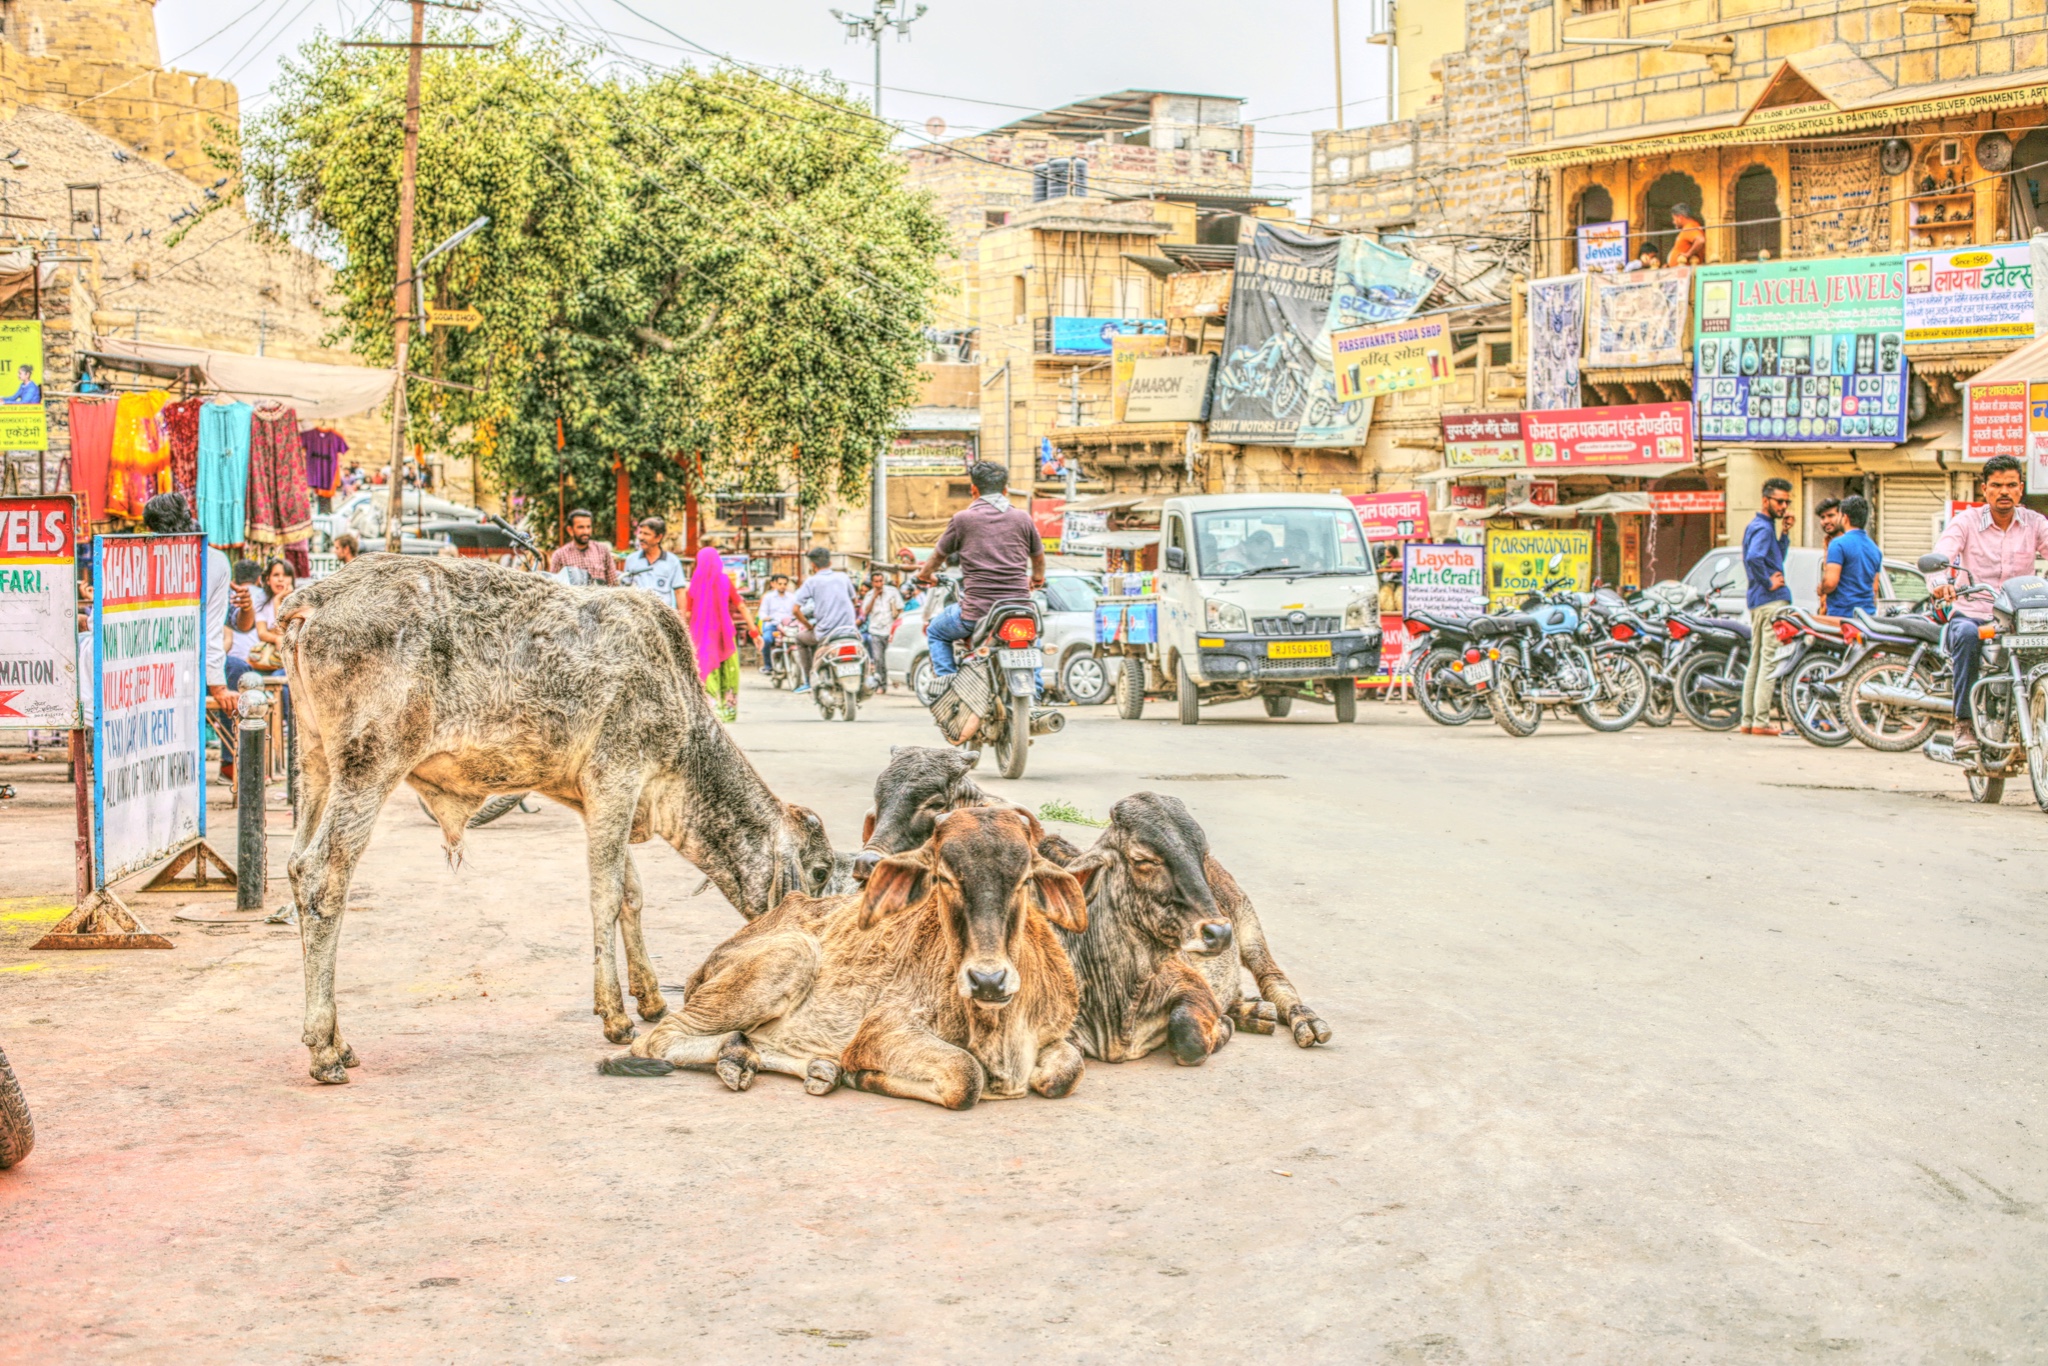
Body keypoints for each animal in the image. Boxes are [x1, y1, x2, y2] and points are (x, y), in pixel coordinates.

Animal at [278, 557, 831, 1089]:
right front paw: (615, 1014)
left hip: (316, 762)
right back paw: (324, 1047)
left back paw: (338, 1040)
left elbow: (631, 894)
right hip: (369, 766)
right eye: (822, 872)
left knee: (295, 866)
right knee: (322, 876)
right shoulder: (616, 779)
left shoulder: (600, 800)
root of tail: (316, 598)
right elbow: (606, 895)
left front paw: (650, 997)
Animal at [606, 810, 1089, 1114]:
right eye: (943, 878)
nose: (989, 980)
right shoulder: (883, 1030)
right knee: (659, 1038)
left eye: (1025, 879)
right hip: (792, 951)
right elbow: (965, 1077)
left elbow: (1067, 1072)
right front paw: (864, 1075)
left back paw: (790, 1064)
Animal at [856, 749, 1335, 1056]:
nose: (866, 862)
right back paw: (1253, 1012)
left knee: (1275, 979)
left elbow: (1188, 1033)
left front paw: (1223, 1027)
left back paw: (1299, 1019)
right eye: (878, 799)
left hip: (1249, 929)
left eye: (935, 803)